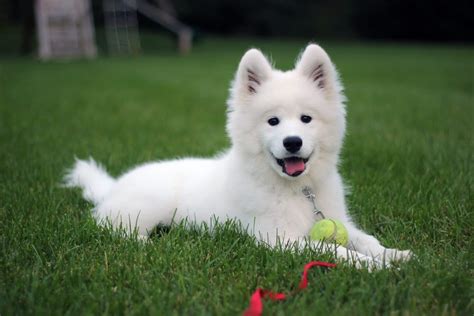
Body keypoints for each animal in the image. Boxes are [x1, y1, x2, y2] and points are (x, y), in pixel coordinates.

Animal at [65, 43, 412, 268]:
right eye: (273, 121)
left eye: (306, 119)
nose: (292, 142)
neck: (297, 191)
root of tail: (113, 187)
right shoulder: (277, 238)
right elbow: (332, 250)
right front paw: (373, 266)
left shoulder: (338, 220)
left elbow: (366, 239)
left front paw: (395, 255)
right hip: (149, 206)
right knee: (109, 225)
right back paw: (145, 243)